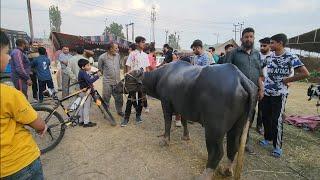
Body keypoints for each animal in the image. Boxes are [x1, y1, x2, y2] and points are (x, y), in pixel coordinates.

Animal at [115, 60, 258, 179]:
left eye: (127, 78)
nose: (115, 87)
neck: (161, 77)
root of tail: (240, 77)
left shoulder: (166, 103)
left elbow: (167, 121)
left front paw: (165, 140)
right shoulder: (182, 107)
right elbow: (183, 121)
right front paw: (185, 136)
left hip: (214, 129)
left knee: (217, 152)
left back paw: (206, 174)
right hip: (238, 125)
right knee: (233, 146)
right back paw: (227, 170)